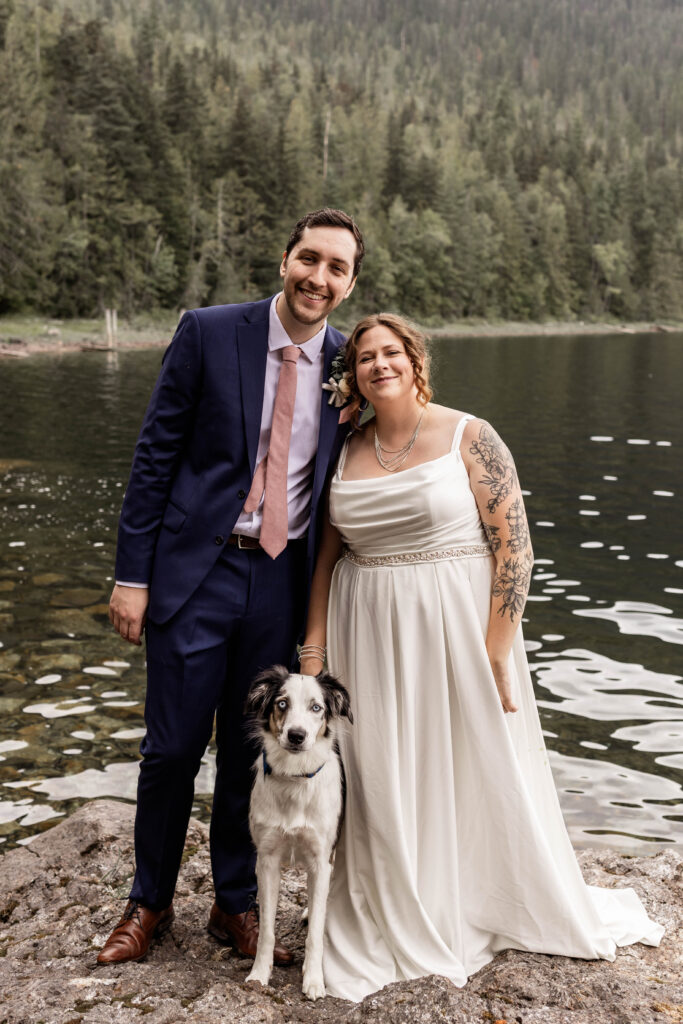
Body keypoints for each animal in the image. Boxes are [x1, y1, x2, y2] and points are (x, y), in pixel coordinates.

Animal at [242, 663, 352, 999]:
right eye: (282, 703)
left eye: (316, 707)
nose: (296, 735)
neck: (295, 778)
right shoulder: (266, 859)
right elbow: (266, 930)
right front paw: (259, 974)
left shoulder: (320, 858)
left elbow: (316, 930)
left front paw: (314, 980)